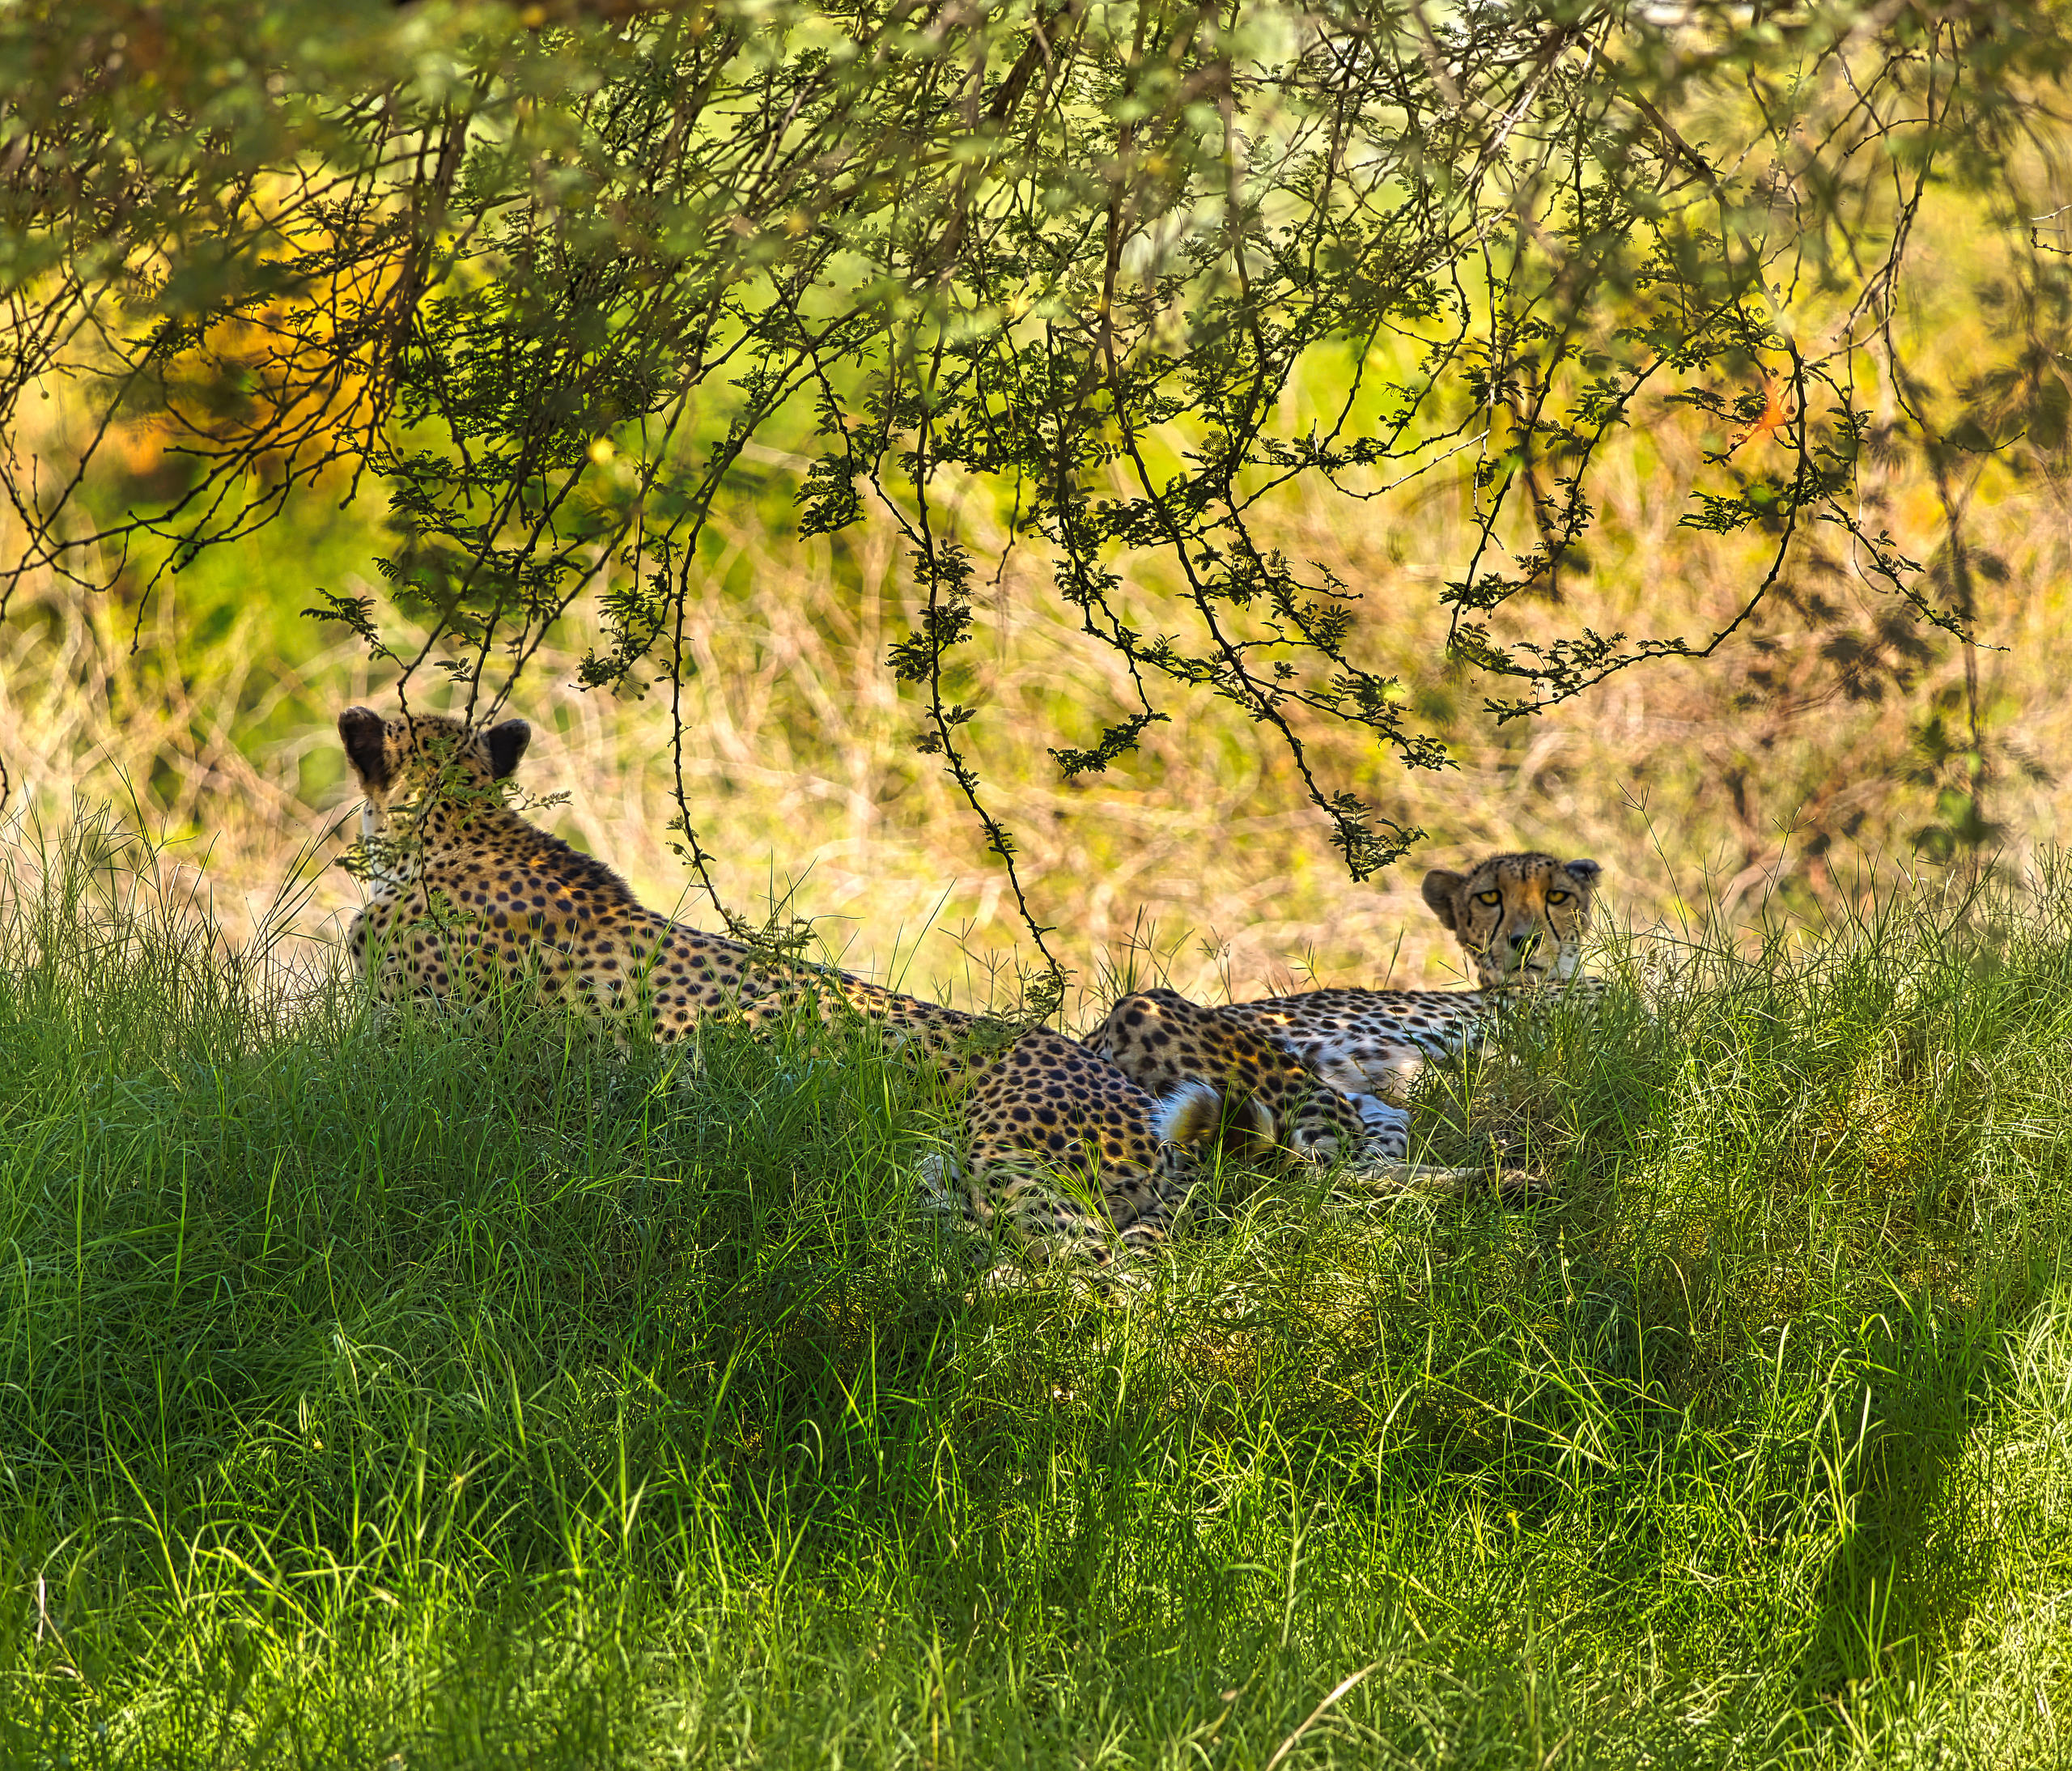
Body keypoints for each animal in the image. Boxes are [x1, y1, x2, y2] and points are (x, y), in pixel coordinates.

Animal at [336, 705, 1218, 1265]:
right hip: (941, 1178)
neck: (457, 830)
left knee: (1104, 1284)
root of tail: (1118, 1084)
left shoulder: (418, 1058)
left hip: (1014, 1172)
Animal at [1086, 852, 1604, 1198]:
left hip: (1377, 1110)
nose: (1525, 939)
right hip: (1146, 1007)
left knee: (1348, 1170)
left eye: (1557, 896)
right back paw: (1507, 1182)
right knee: (1319, 1183)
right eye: (1490, 898)